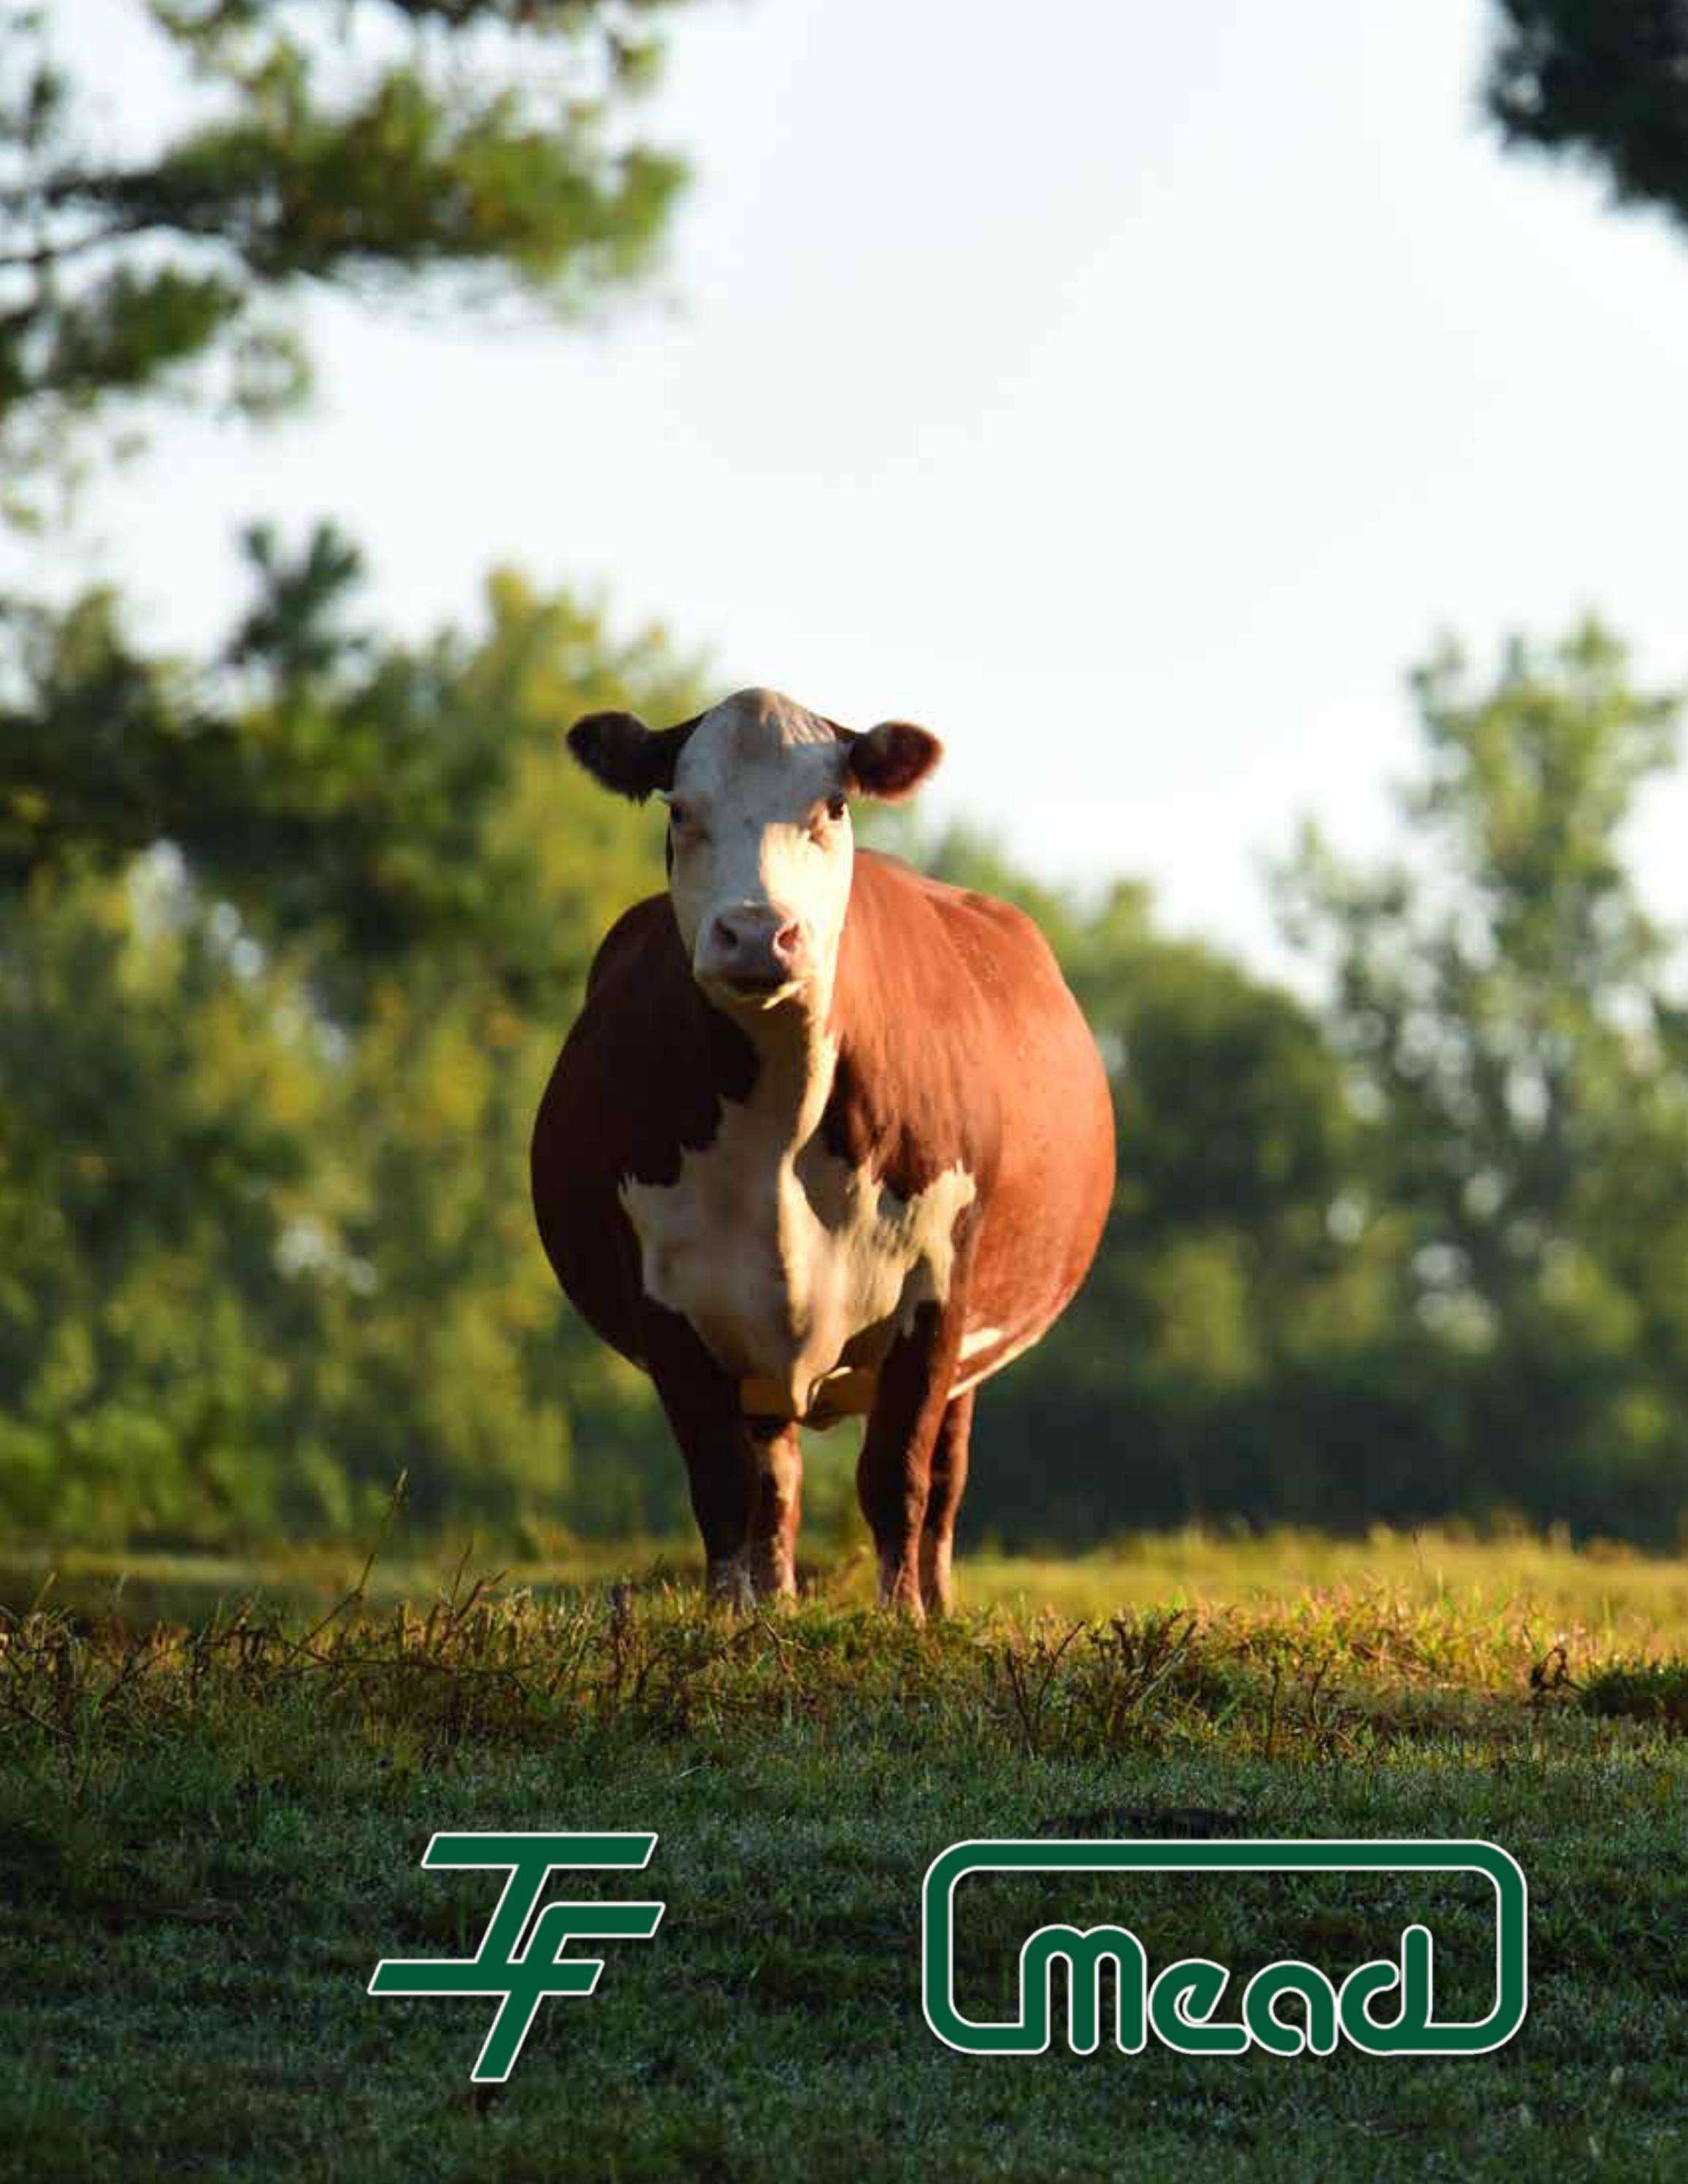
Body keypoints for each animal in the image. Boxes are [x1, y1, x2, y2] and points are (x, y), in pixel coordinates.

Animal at [531, 687, 1115, 1619]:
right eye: (680, 809)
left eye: (832, 805)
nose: (756, 933)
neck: (782, 1115)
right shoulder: (669, 1296)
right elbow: (725, 1485)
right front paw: (730, 1620)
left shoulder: (937, 1285)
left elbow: (896, 1477)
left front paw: (902, 1619)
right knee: (776, 1480)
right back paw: (774, 1601)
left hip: (968, 1347)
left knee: (941, 1482)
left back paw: (936, 1602)